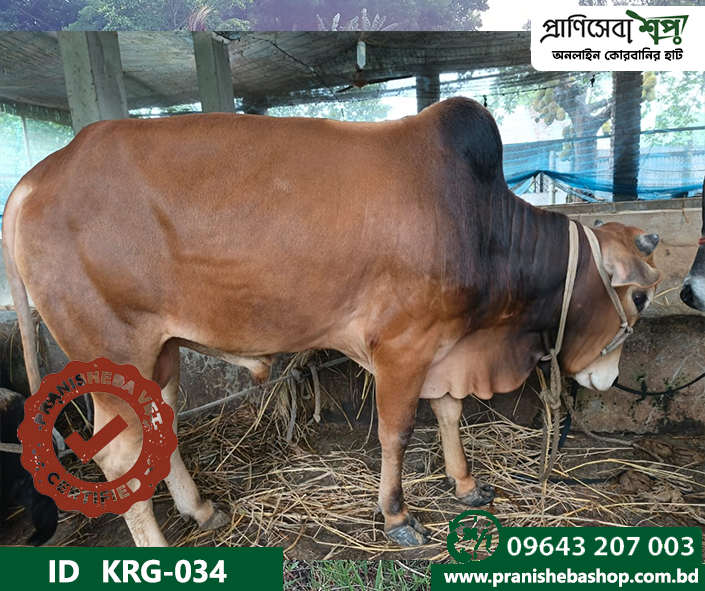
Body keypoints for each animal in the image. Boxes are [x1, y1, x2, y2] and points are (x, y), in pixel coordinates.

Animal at [2, 97, 662, 547]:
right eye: (639, 296)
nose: (610, 378)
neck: (481, 225)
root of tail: (36, 177)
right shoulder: (403, 347)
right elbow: (397, 432)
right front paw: (397, 516)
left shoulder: (444, 346)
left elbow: (450, 413)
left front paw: (466, 484)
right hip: (114, 349)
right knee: (118, 454)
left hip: (159, 352)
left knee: (158, 427)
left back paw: (203, 511)